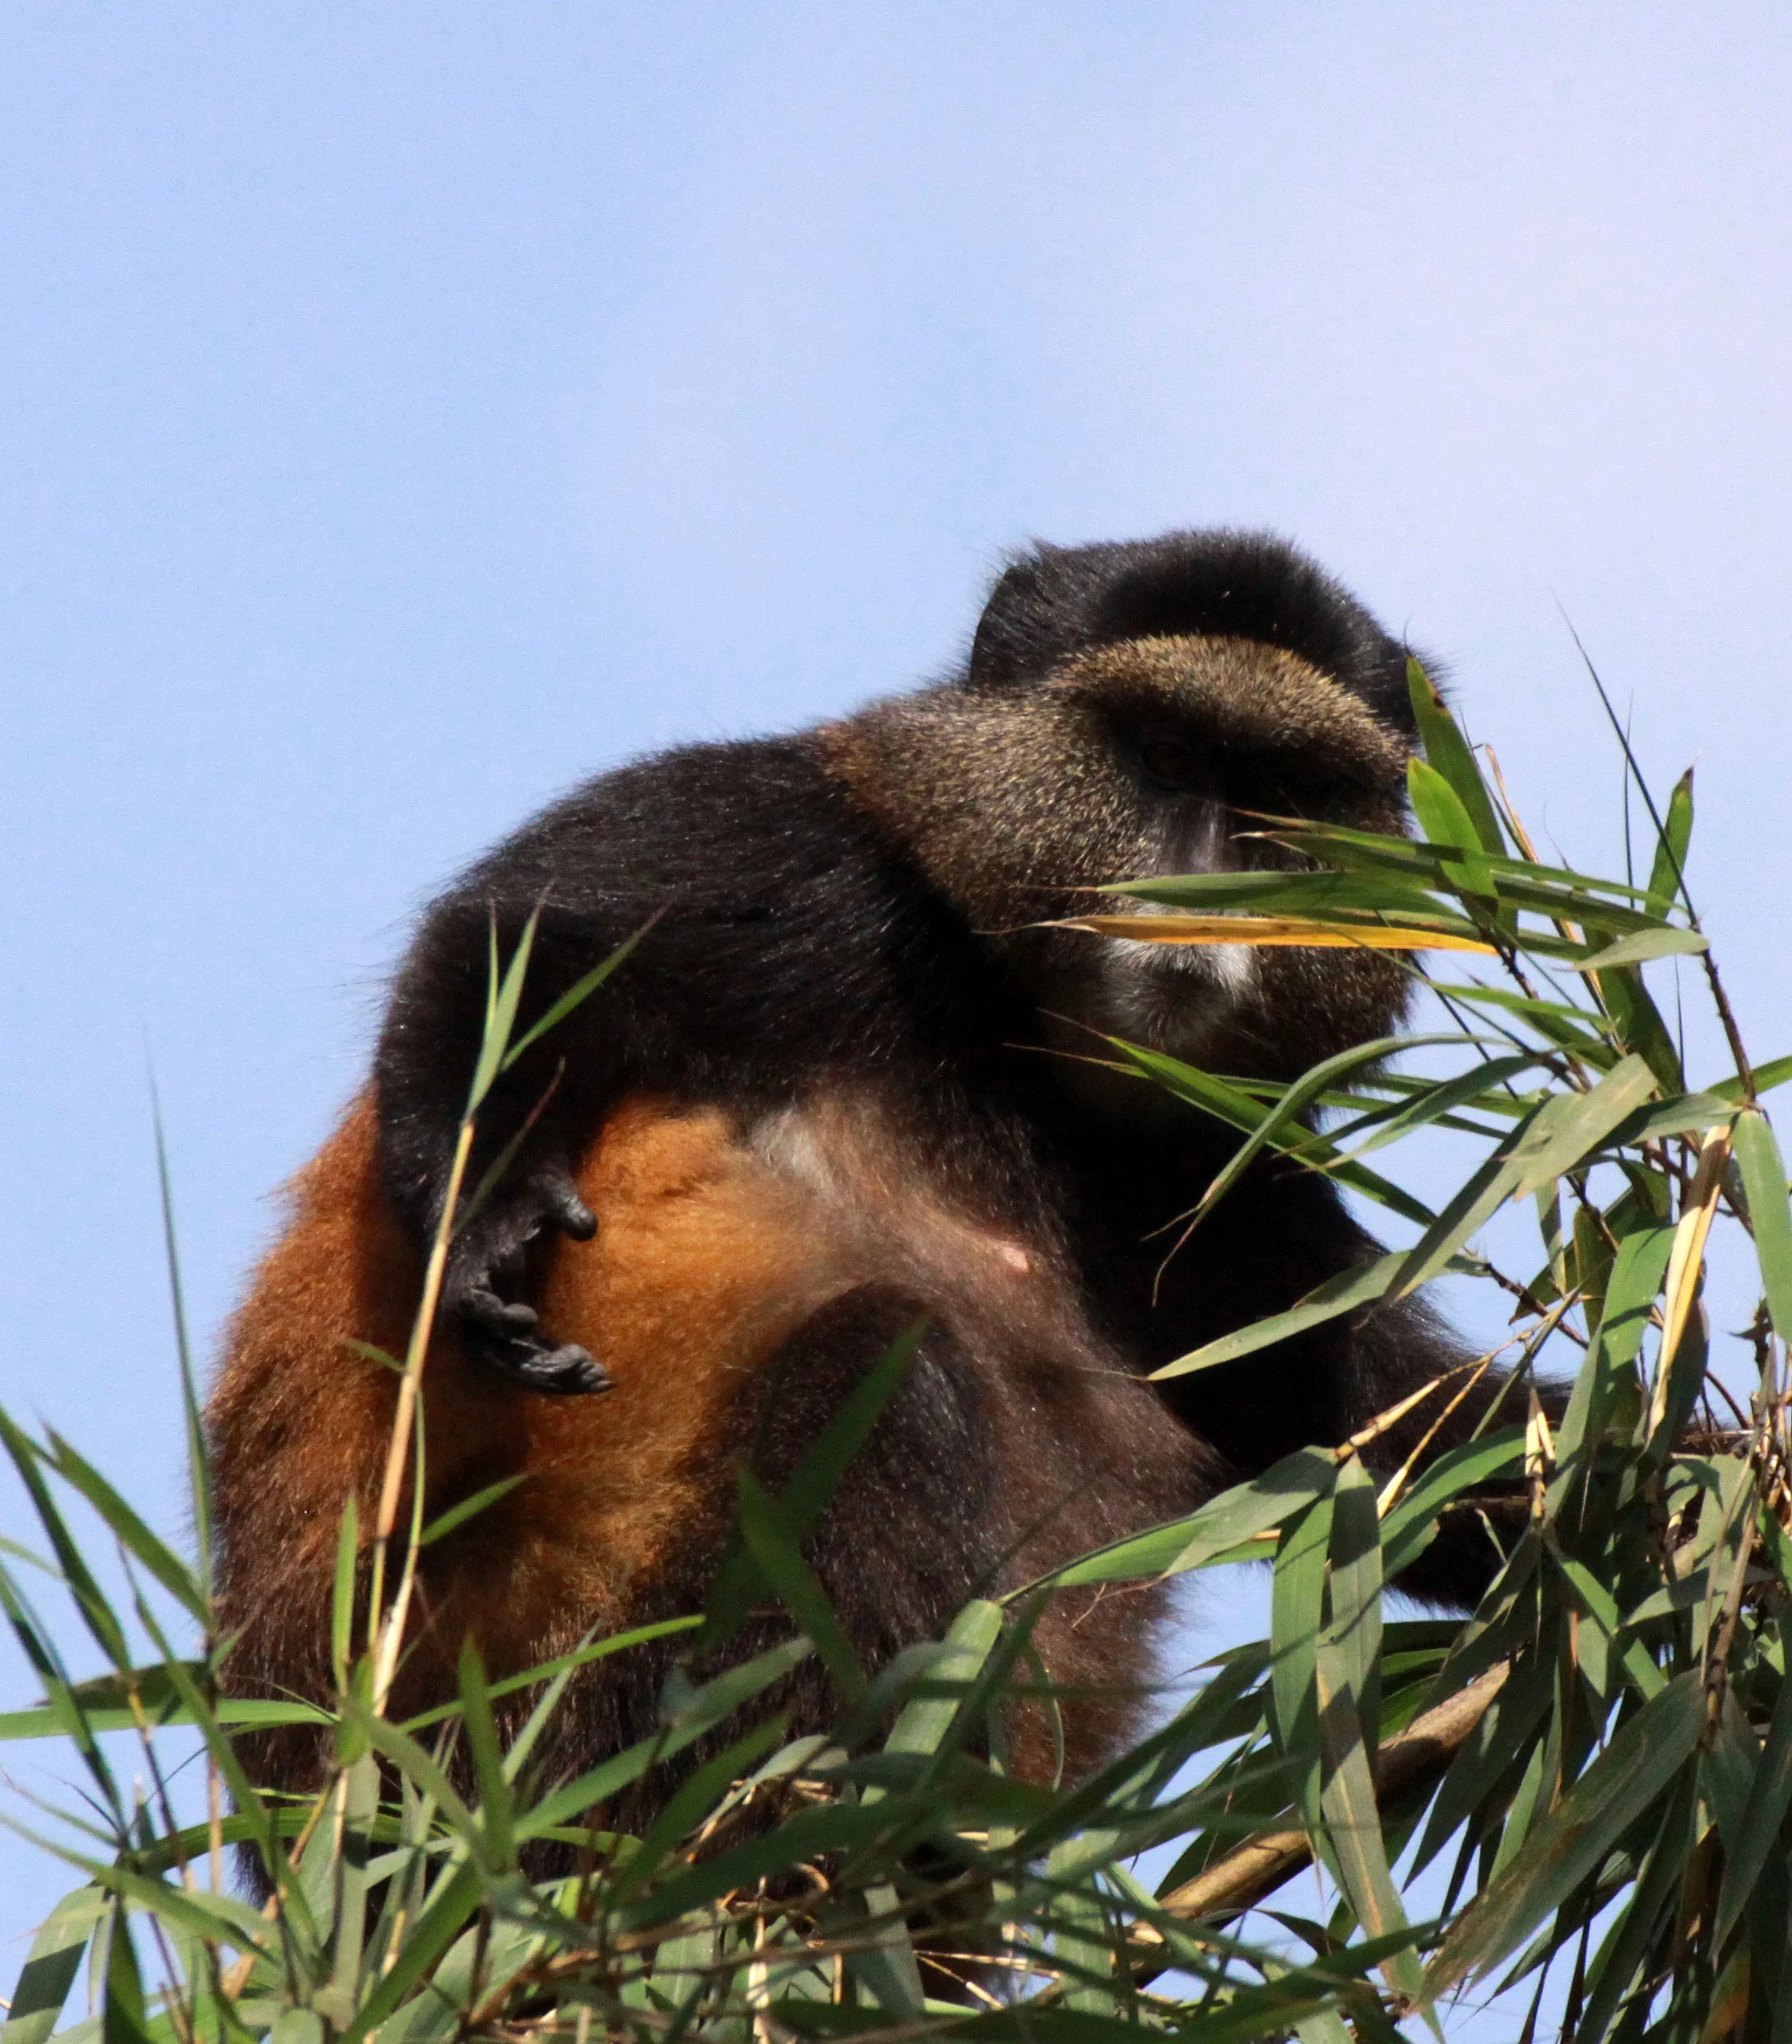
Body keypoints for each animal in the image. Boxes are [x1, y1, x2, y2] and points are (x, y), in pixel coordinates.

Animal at [208, 529, 1529, 1830]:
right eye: (1161, 757)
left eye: (1279, 798)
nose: (1207, 894)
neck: (1019, 1047)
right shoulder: (793, 836)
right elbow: (518, 944)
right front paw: (484, 1219)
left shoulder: (1223, 1182)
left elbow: (1376, 1423)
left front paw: (1590, 1505)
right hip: (553, 1754)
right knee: (884, 1365)